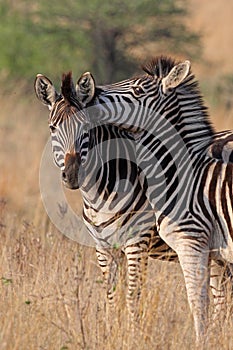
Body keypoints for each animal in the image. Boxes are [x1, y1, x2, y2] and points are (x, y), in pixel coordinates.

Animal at [74, 56, 233, 342]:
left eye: (138, 91)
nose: (89, 93)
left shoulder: (189, 242)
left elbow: (196, 303)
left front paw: (200, 342)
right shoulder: (211, 249)